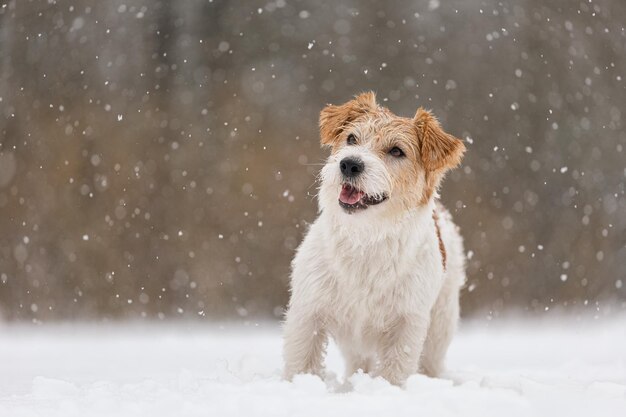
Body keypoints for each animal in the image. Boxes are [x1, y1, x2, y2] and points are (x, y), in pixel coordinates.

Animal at [282, 92, 464, 386]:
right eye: (351, 138)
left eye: (397, 151)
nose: (349, 163)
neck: (366, 236)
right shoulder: (308, 312)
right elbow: (302, 361)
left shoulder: (406, 325)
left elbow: (394, 370)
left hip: (440, 327)